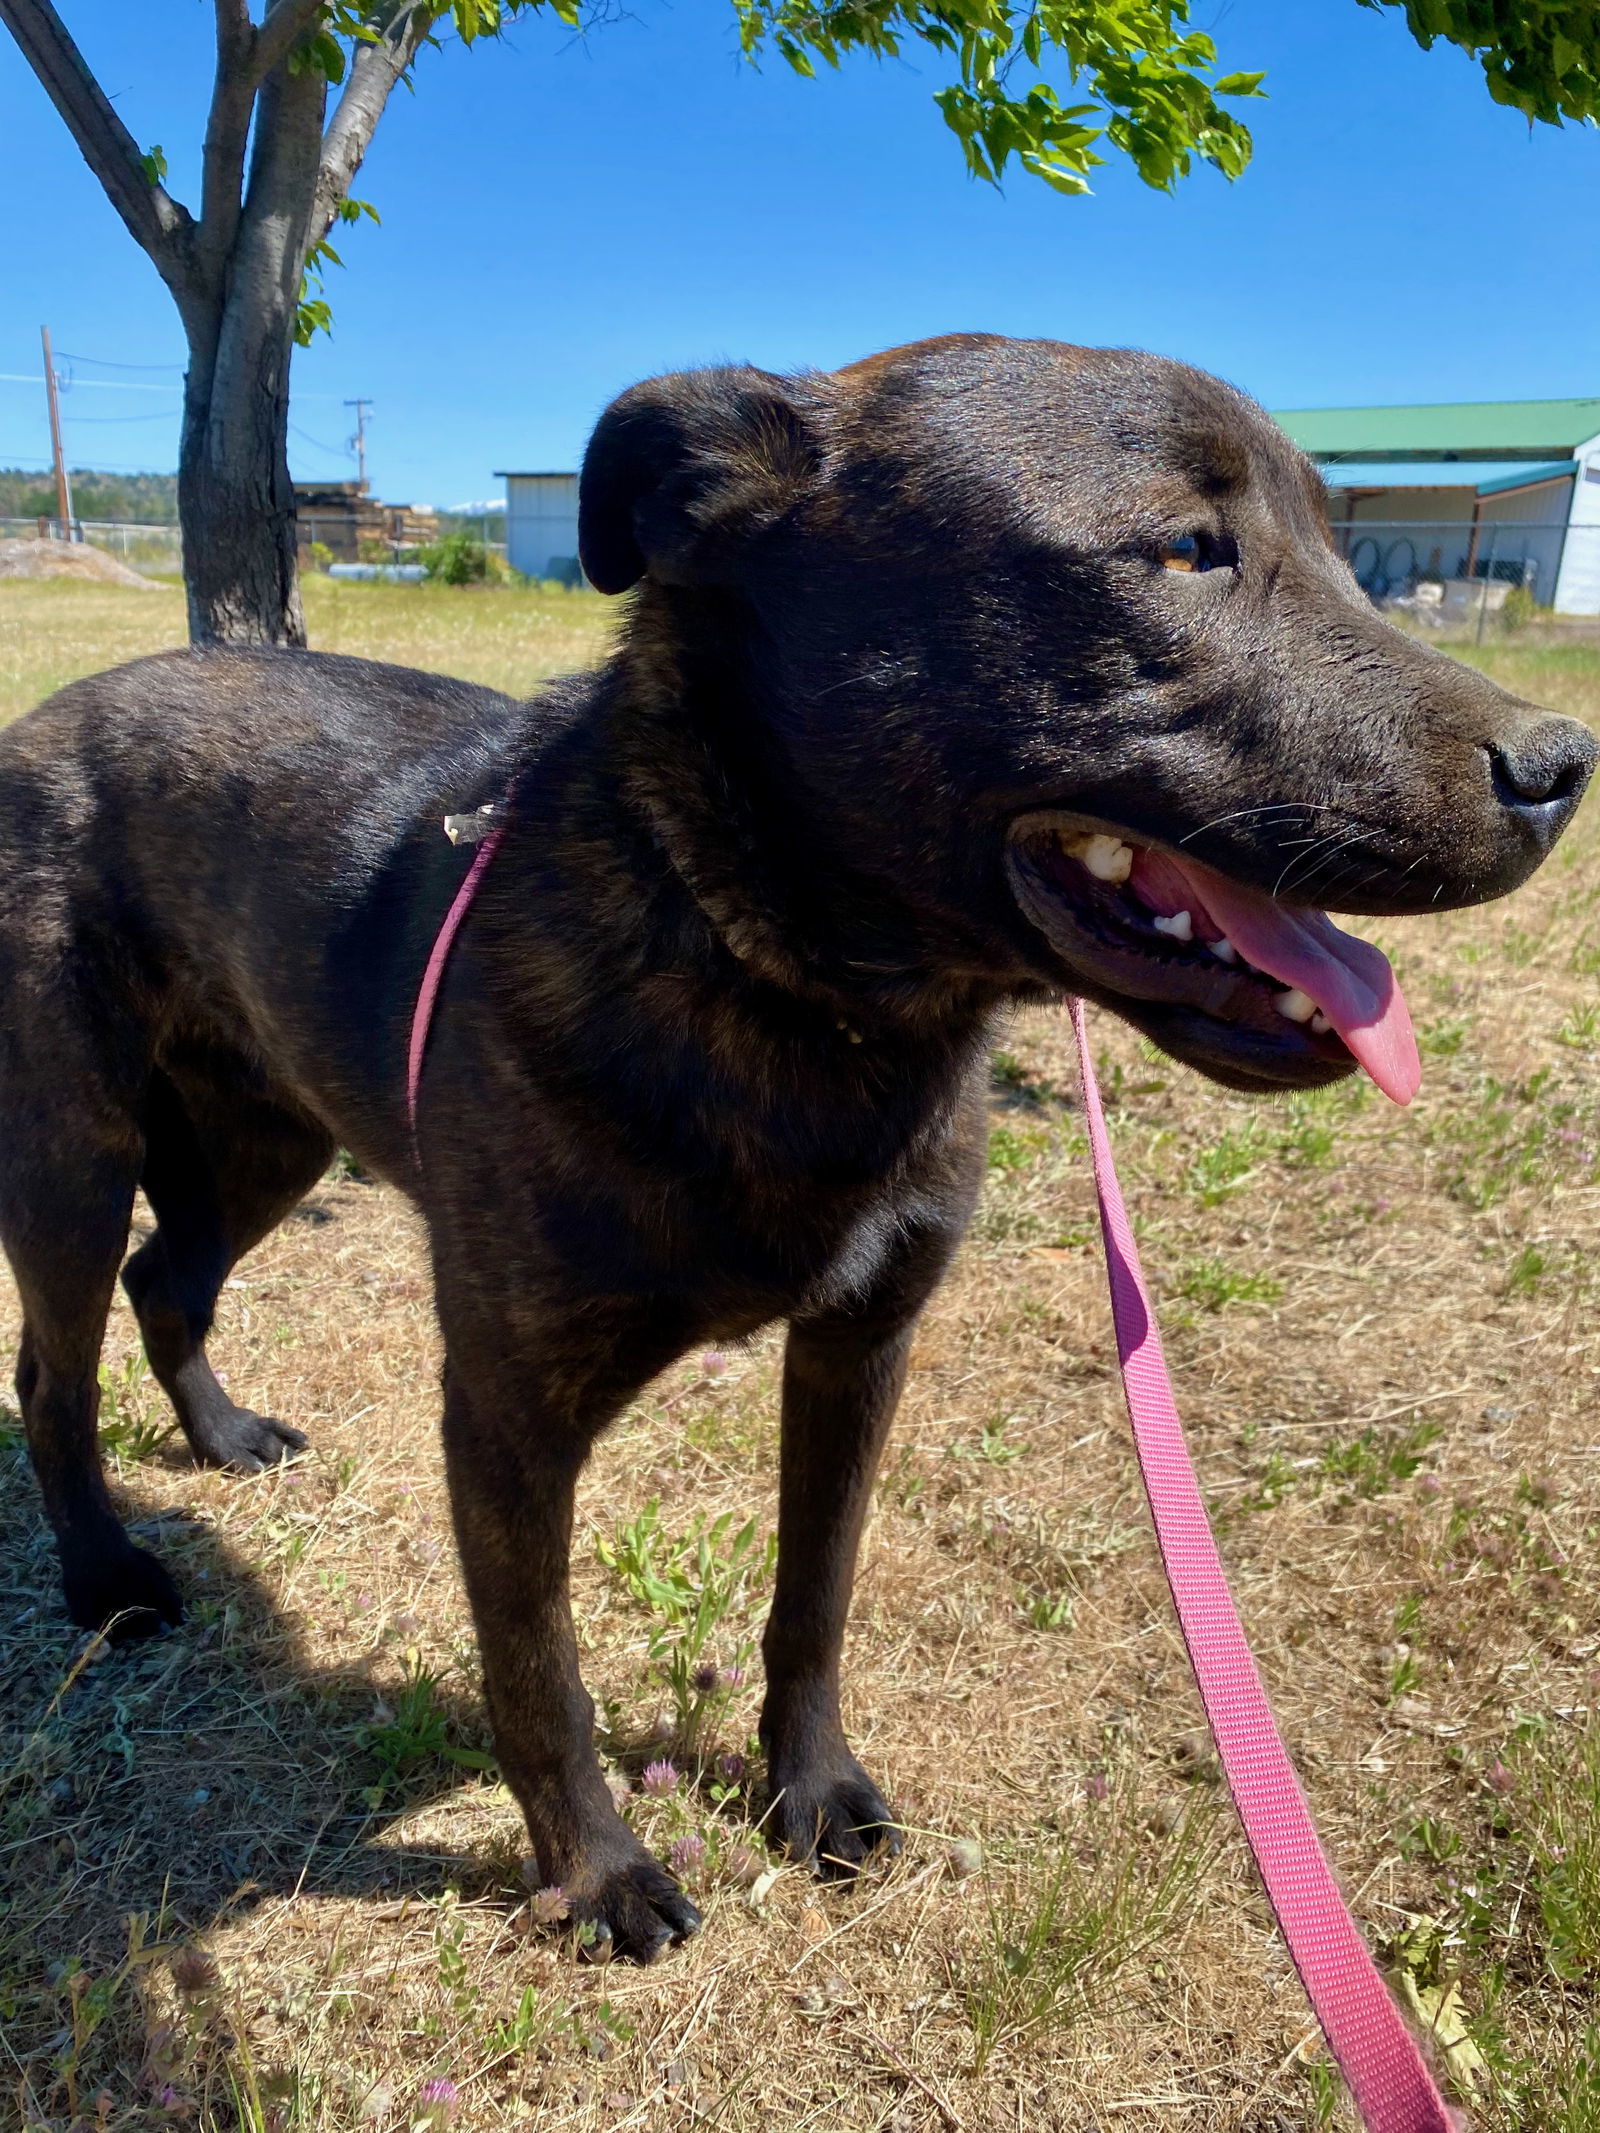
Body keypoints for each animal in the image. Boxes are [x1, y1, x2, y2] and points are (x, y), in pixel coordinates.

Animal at [0, 332, 1595, 1953]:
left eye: (1340, 549)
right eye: (1187, 550)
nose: (1561, 765)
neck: (797, 997)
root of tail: (47, 714)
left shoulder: (861, 1347)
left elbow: (812, 1597)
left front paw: (810, 1790)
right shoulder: (506, 1407)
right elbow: (537, 1668)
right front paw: (598, 1872)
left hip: (269, 1141)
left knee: (168, 1280)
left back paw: (221, 1436)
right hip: (73, 1152)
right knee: (55, 1367)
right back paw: (107, 1572)